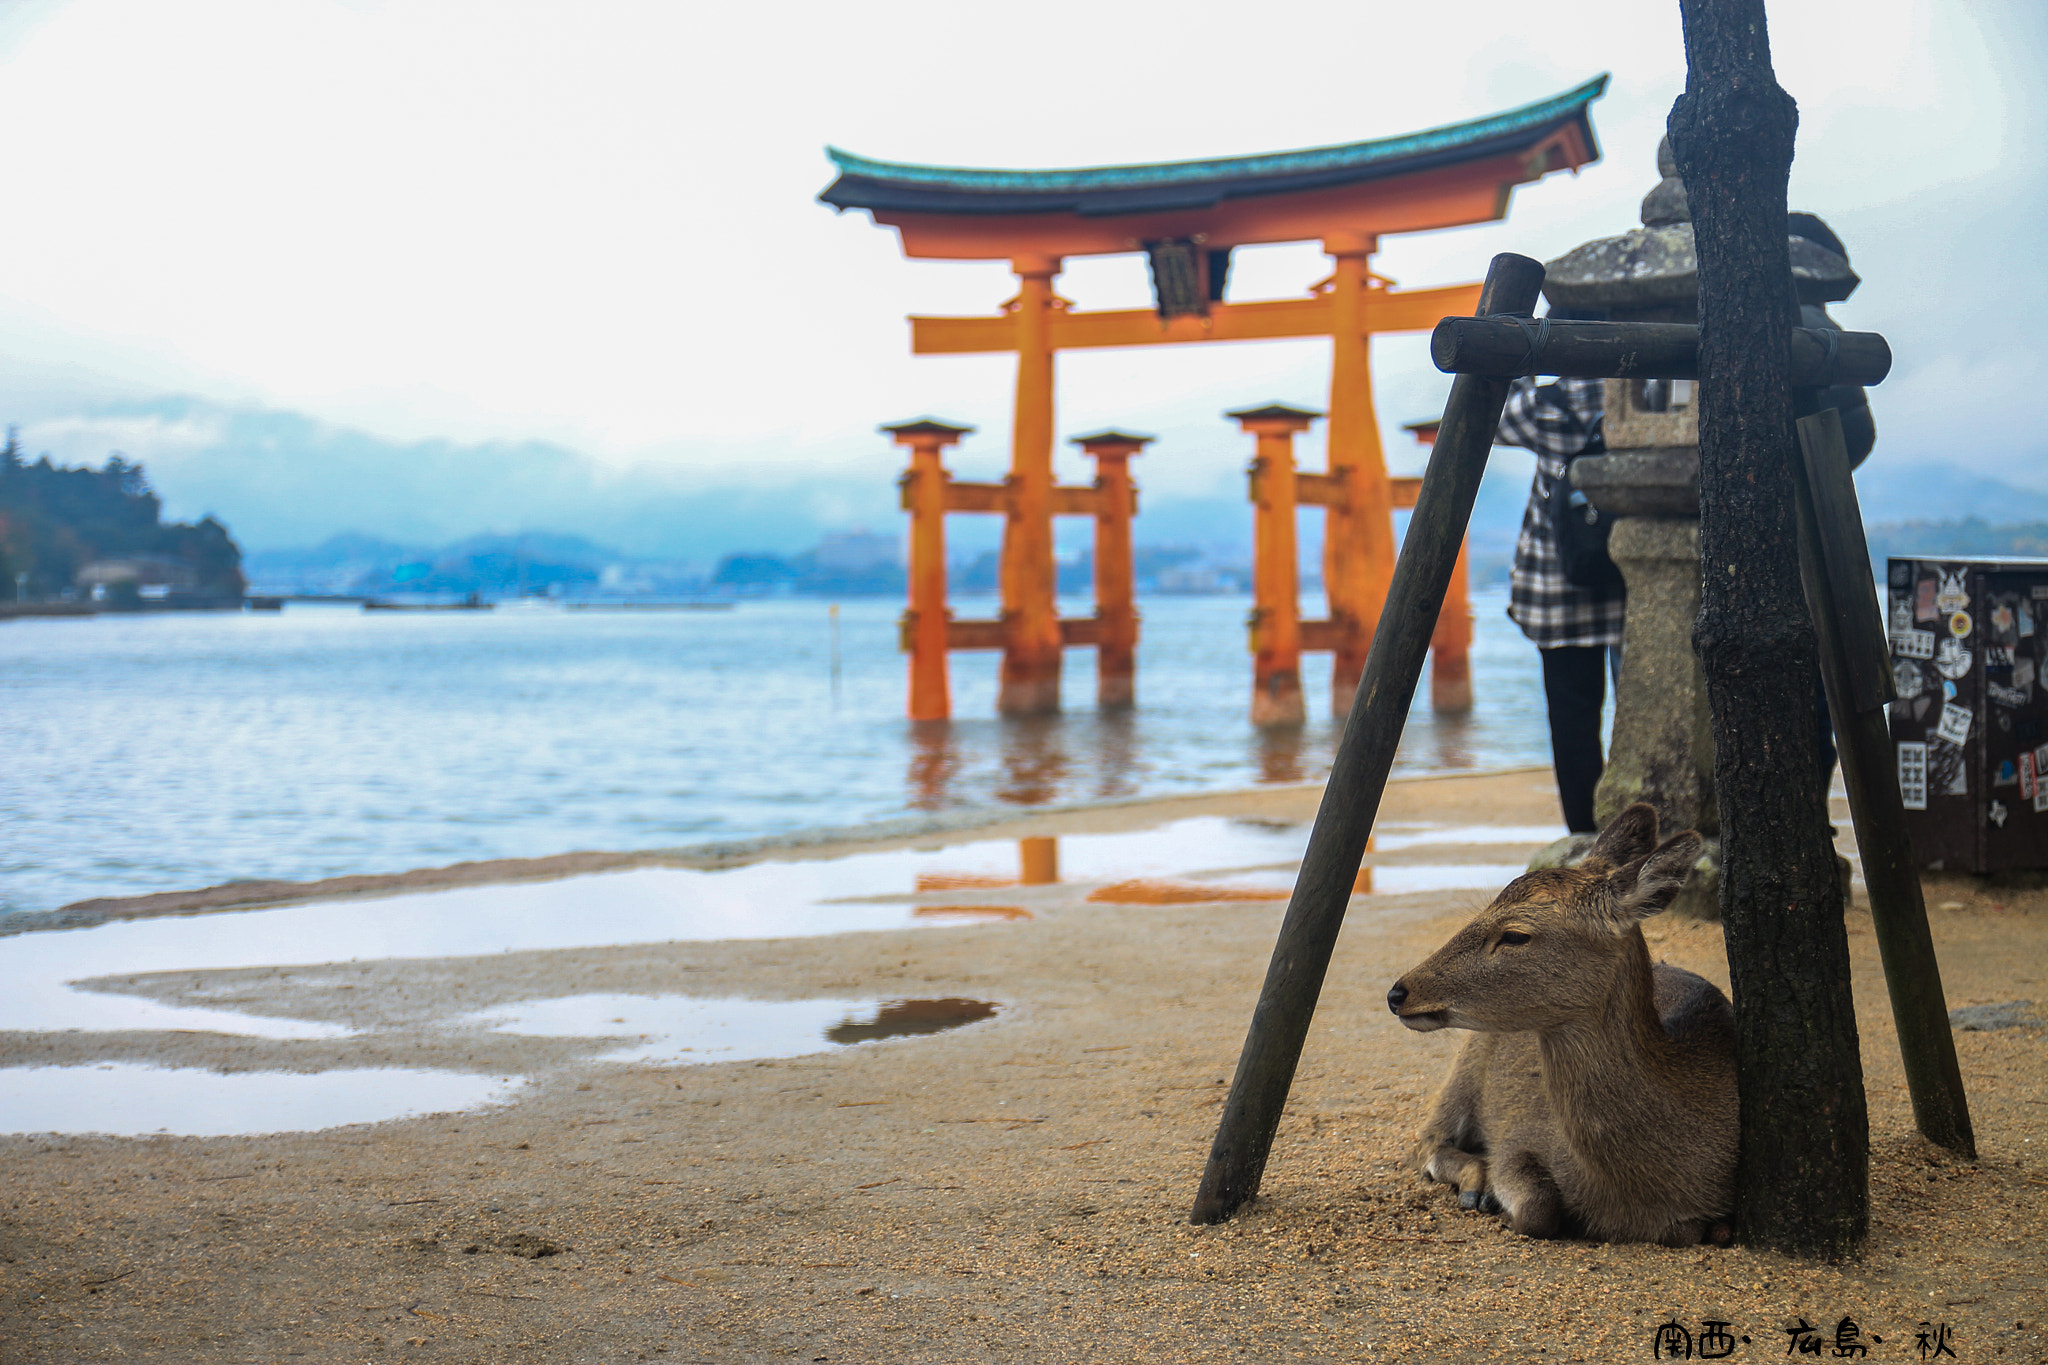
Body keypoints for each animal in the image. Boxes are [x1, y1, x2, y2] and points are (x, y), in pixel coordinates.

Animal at [1386, 803, 1736, 1246]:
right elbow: (1537, 1208)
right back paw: (1475, 1186)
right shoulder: (1519, 1133)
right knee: (1426, 1141)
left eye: (1515, 935)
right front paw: (1496, 1195)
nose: (1398, 992)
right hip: (1467, 1063)